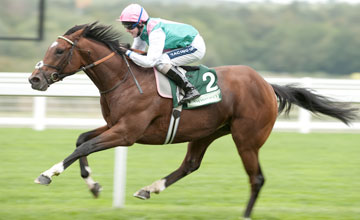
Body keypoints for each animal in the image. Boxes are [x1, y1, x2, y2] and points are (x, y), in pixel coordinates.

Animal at [27, 22, 358, 220]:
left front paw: (47, 173)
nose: (34, 79)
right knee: (190, 165)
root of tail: (266, 84)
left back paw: (245, 214)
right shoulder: (114, 125)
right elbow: (82, 140)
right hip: (206, 132)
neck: (124, 78)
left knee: (257, 178)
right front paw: (93, 185)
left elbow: (84, 146)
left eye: (59, 50)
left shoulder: (127, 133)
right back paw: (150, 188)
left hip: (247, 139)